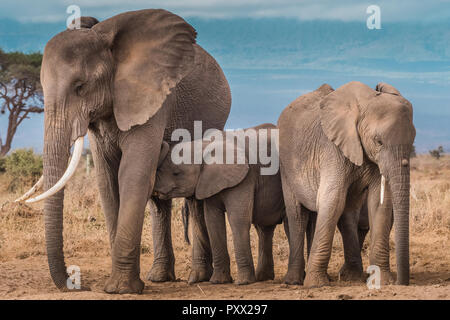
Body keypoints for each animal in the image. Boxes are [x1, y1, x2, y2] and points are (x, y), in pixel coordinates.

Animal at [15, 9, 230, 296]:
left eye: (80, 87)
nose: (77, 282)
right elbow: (107, 181)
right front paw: (122, 285)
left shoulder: (151, 97)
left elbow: (133, 175)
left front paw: (120, 289)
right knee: (159, 201)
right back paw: (159, 277)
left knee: (193, 196)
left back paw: (197, 277)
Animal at [153, 124, 286, 284]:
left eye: (176, 173)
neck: (204, 145)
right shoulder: (208, 182)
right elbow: (213, 221)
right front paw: (218, 281)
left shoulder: (244, 178)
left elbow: (237, 220)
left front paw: (242, 282)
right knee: (264, 229)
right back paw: (263, 278)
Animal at [280, 81, 416, 286]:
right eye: (379, 141)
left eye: (413, 140)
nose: (402, 282)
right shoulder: (332, 149)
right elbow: (332, 200)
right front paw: (316, 284)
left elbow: (379, 204)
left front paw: (382, 281)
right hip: (285, 167)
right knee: (297, 215)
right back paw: (294, 281)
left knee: (348, 211)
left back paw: (351, 276)